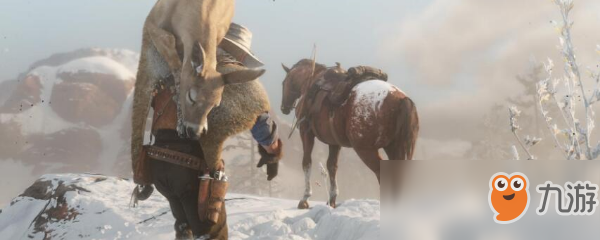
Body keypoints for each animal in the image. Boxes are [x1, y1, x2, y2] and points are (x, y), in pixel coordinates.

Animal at [280, 59, 418, 208]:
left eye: (284, 82)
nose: (284, 108)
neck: (311, 82)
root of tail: (402, 100)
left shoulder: (306, 132)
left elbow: (306, 162)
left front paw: (305, 199)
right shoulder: (334, 142)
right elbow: (332, 166)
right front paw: (332, 199)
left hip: (365, 150)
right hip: (395, 148)